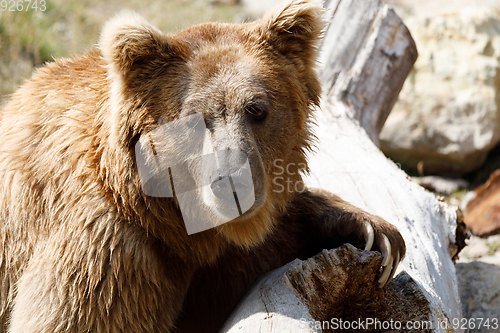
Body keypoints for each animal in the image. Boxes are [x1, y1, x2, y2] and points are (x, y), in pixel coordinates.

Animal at [0, 1, 404, 330]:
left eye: (257, 109)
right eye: (193, 119)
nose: (232, 182)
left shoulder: (215, 264)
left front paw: (374, 232)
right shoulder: (108, 252)